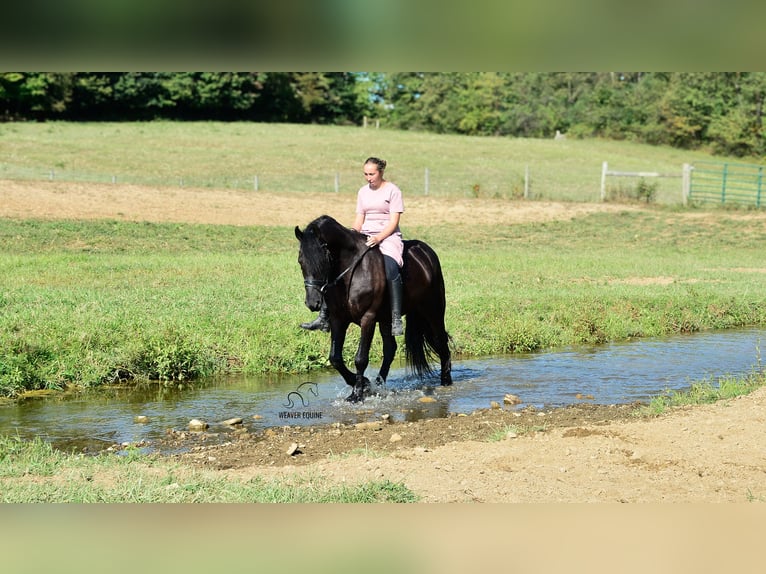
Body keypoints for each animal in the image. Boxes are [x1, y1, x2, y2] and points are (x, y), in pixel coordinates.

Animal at [295, 215, 452, 402]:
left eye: (322, 261)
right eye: (301, 261)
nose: (313, 303)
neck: (350, 271)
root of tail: (426, 252)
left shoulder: (367, 318)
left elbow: (360, 358)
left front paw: (357, 394)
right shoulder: (338, 319)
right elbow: (335, 358)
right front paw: (364, 384)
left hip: (433, 310)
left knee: (441, 341)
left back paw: (446, 381)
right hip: (386, 318)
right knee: (390, 349)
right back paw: (378, 384)